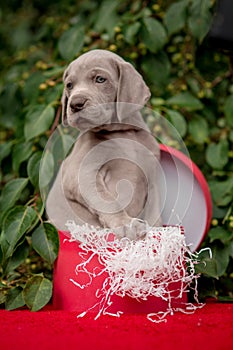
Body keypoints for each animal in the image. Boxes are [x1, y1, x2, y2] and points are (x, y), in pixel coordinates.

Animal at [46, 49, 161, 239]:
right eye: (69, 85)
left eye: (100, 79)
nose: (75, 104)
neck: (122, 132)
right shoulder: (80, 173)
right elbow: (108, 201)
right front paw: (126, 224)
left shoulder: (153, 177)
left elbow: (155, 211)